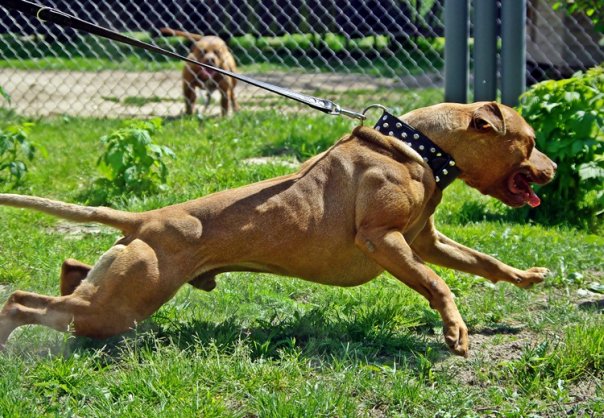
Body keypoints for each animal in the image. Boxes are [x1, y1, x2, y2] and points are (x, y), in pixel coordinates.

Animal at [0, 102, 556, 356]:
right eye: (529, 142)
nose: (551, 169)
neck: (418, 147)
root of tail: (147, 218)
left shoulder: (426, 241)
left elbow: (483, 262)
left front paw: (525, 277)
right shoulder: (384, 241)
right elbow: (438, 283)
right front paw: (455, 331)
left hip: (115, 291)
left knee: (69, 271)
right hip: (119, 304)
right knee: (23, 301)